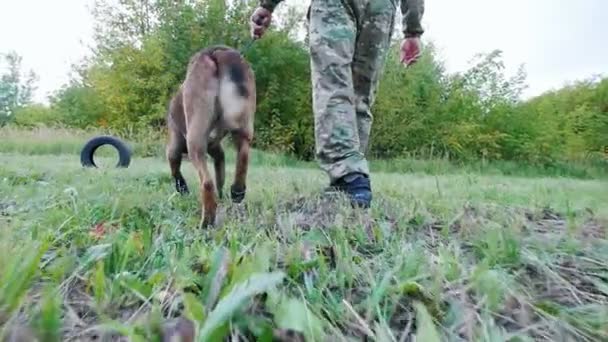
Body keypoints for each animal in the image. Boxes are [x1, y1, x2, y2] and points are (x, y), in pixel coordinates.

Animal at [165, 44, 255, 227]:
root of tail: (216, 52)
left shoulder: (174, 147)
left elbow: (175, 170)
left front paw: (182, 188)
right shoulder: (217, 150)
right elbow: (220, 176)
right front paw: (222, 197)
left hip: (195, 141)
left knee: (207, 183)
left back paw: (206, 222)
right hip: (244, 127)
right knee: (243, 158)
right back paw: (237, 191)